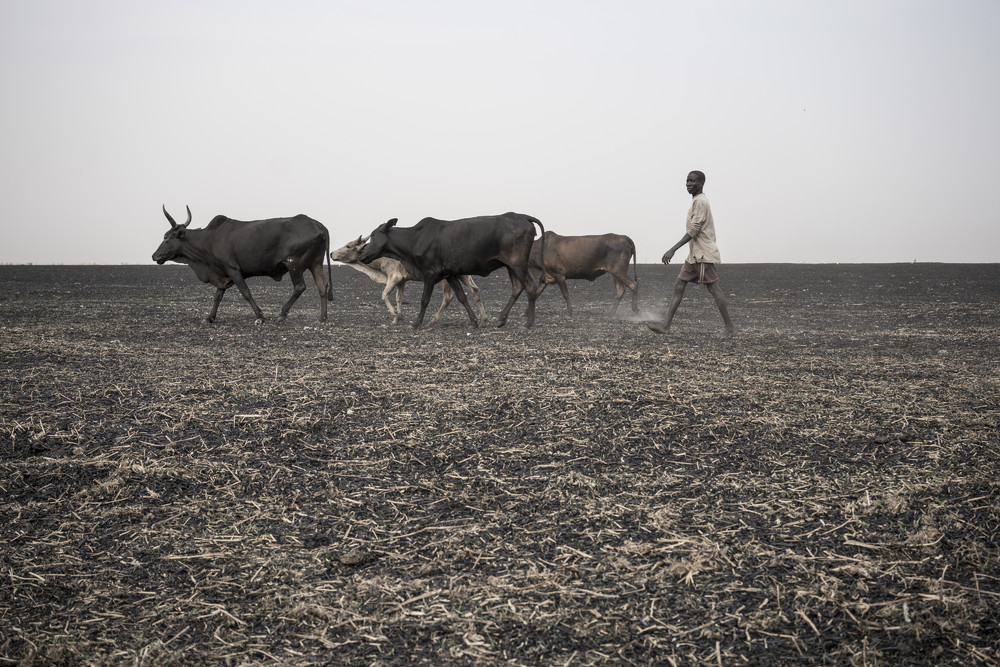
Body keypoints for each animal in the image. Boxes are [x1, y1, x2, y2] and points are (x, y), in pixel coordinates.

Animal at [151, 206, 332, 326]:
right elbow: (217, 296)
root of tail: (316, 224)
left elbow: (246, 292)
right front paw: (209, 317)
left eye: (166, 237)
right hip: (315, 263)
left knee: (300, 287)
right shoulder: (223, 274)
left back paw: (282, 313)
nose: (154, 256)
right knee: (322, 286)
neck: (209, 240)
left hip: (294, 264)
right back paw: (322, 318)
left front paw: (260, 316)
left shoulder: (233, 269)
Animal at [330, 237, 486, 326]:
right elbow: (399, 299)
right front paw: (396, 319)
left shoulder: (394, 277)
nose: (331, 253)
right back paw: (483, 318)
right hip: (462, 275)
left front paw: (397, 316)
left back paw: (433, 320)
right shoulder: (402, 281)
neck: (377, 262)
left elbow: (384, 295)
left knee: (449, 297)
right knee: (475, 290)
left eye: (348, 246)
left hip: (448, 279)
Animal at [360, 214, 548, 328]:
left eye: (374, 235)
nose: (362, 254)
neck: (415, 239)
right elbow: (461, 297)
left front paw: (417, 322)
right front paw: (474, 320)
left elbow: (424, 299)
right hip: (511, 265)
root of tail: (521, 216)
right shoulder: (449, 274)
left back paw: (528, 323)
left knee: (530, 286)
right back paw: (501, 319)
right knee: (517, 288)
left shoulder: (430, 273)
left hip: (518, 263)